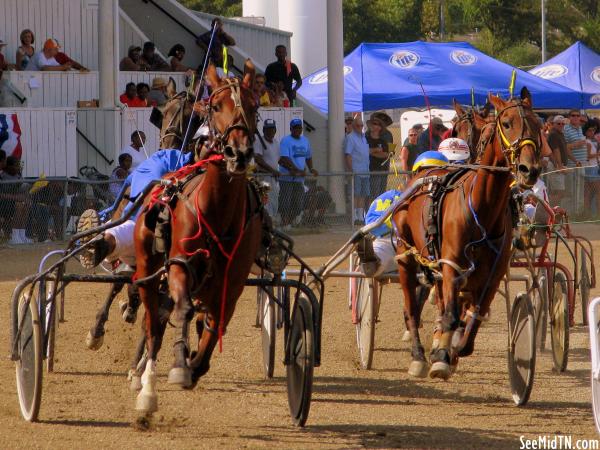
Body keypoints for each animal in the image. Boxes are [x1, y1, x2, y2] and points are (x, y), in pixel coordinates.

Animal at [132, 61, 262, 414]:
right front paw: (178, 364)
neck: (217, 210)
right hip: (147, 270)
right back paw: (145, 384)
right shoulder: (179, 265)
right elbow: (183, 310)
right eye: (215, 107)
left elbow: (216, 325)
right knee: (153, 324)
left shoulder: (232, 282)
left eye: (254, 107)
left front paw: (193, 361)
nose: (238, 153)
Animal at [394, 88, 544, 380]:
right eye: (506, 123)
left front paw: (451, 350)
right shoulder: (452, 264)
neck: (482, 208)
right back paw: (418, 355)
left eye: (538, 124)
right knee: (411, 308)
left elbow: (475, 315)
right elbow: (451, 313)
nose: (529, 169)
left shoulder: (492, 273)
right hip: (406, 255)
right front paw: (440, 356)